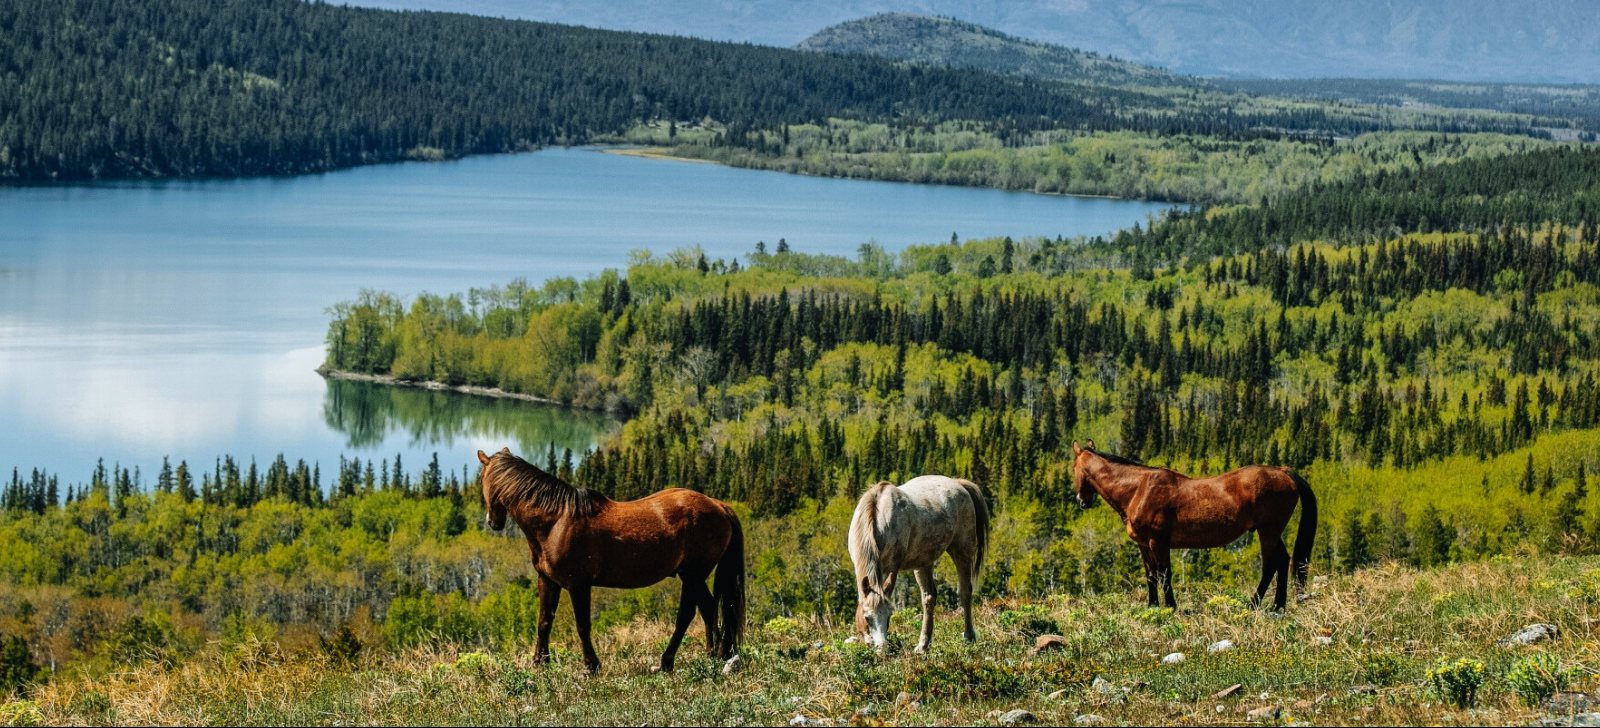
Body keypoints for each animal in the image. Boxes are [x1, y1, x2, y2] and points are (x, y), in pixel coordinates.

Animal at [476, 448, 745, 675]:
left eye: (481, 479)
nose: (492, 522)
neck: (555, 522)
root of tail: (719, 506)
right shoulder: (547, 581)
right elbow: (544, 622)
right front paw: (540, 663)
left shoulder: (578, 585)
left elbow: (582, 625)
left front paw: (590, 666)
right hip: (694, 576)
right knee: (708, 606)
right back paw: (711, 655)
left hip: (692, 575)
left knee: (686, 614)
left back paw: (666, 662)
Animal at [851, 476, 985, 652]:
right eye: (867, 617)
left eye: (889, 616)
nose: (883, 649)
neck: (877, 518)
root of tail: (958, 483)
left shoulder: (890, 567)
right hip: (924, 562)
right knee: (929, 598)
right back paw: (923, 645)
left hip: (962, 551)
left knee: (965, 592)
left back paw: (969, 637)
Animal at [1068, 441, 1318, 611]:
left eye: (1073, 468)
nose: (1082, 501)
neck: (1138, 489)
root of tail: (1283, 471)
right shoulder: (1144, 545)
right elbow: (1151, 575)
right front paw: (1153, 606)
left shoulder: (1159, 542)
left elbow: (1164, 574)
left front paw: (1170, 606)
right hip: (1273, 532)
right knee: (1283, 561)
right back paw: (1278, 606)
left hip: (1268, 532)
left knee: (1270, 565)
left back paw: (1254, 604)